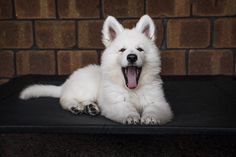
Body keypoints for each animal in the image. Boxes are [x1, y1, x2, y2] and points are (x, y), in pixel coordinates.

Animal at [19, 14, 172, 125]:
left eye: (140, 49)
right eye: (122, 50)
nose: (132, 57)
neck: (132, 90)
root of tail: (66, 83)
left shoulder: (159, 102)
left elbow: (154, 108)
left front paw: (151, 117)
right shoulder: (115, 103)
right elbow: (126, 107)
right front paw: (131, 115)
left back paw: (91, 107)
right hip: (86, 87)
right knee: (64, 99)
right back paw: (75, 106)